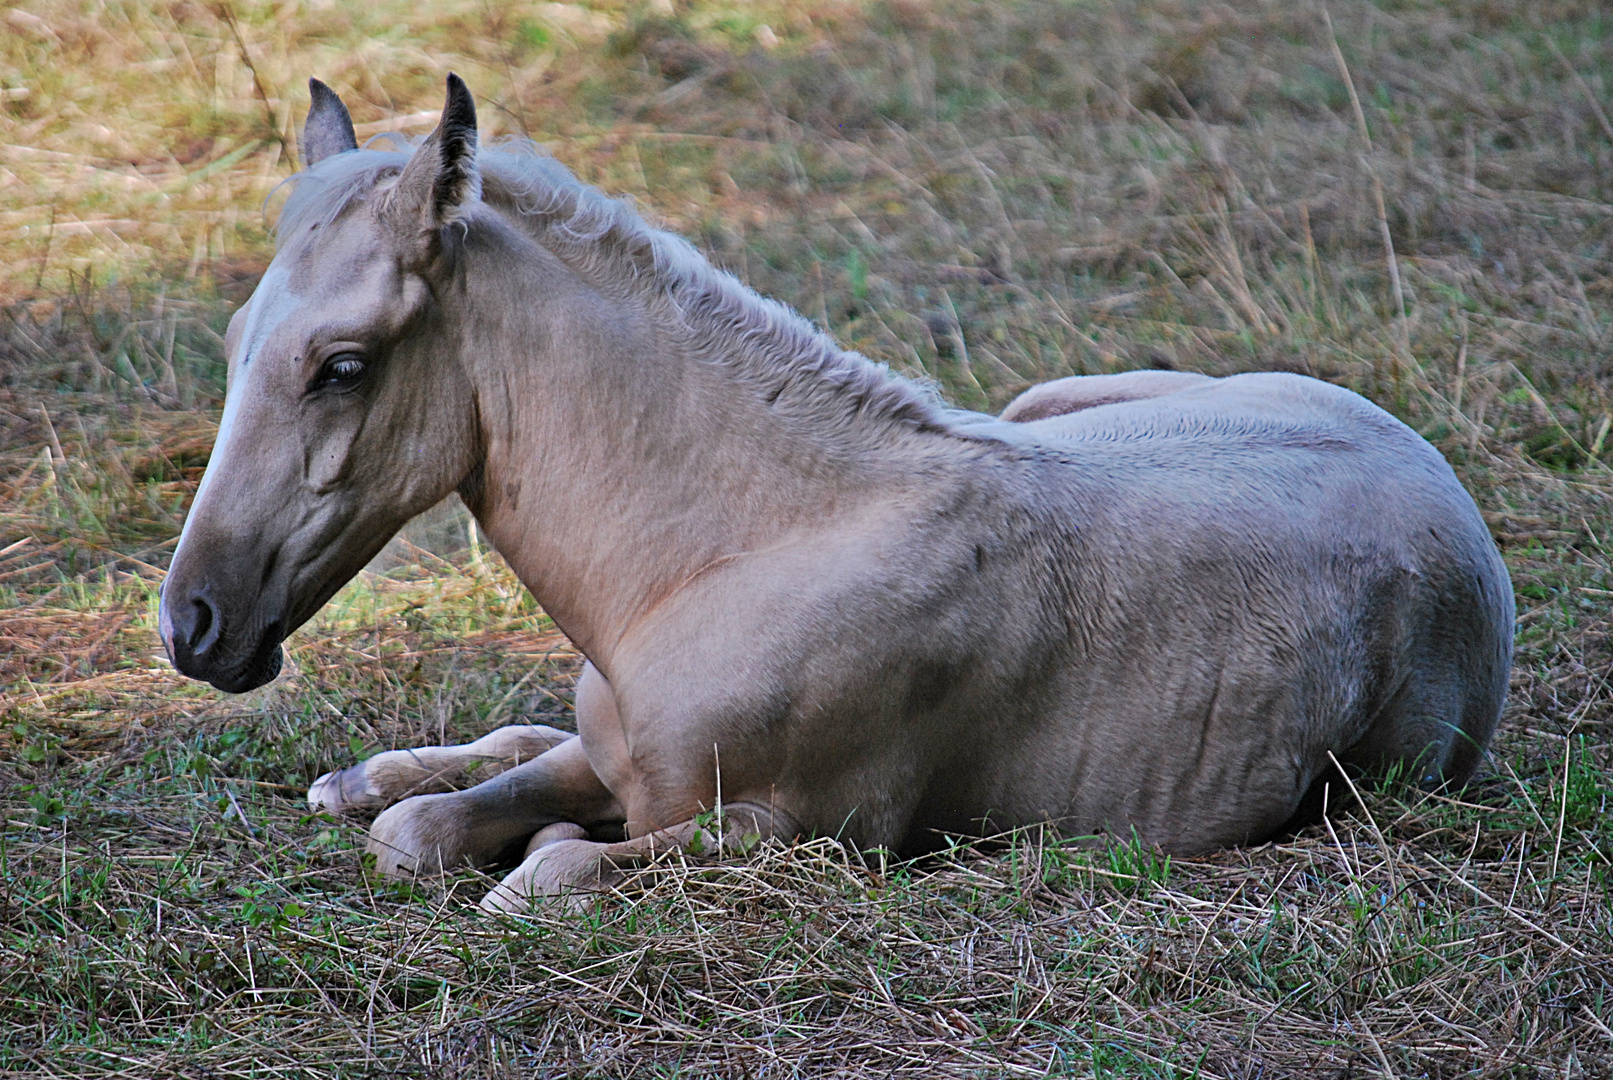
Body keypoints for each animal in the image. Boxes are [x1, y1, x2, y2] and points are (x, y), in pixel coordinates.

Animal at [163, 78, 1509, 915]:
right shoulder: (617, 756)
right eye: (230, 342)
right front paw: (400, 799)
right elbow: (439, 824)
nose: (191, 623)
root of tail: (1423, 457)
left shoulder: (795, 833)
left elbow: (542, 867)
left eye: (341, 366)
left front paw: (525, 841)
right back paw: (363, 776)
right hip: (1045, 396)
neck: (728, 557)